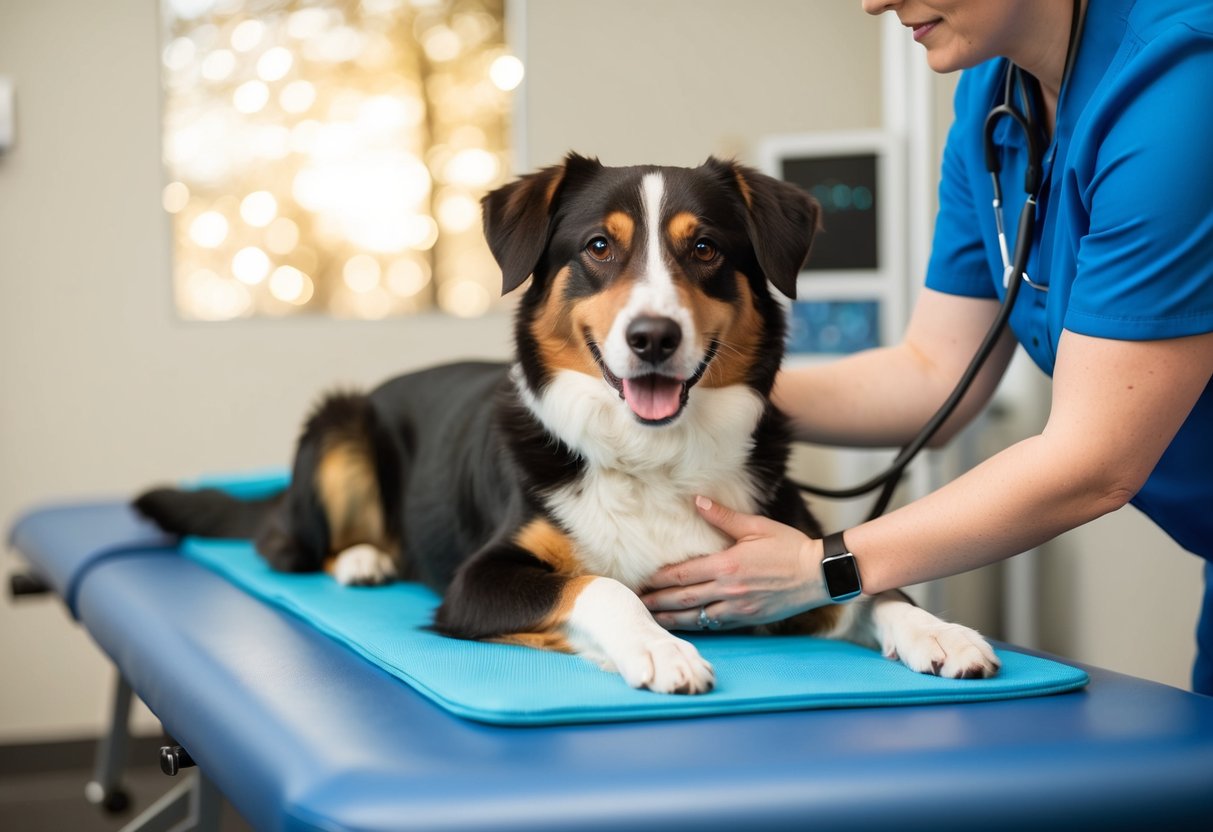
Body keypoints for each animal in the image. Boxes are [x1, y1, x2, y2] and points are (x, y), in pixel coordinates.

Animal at [137, 153, 999, 693]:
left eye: (705, 249)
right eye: (597, 247)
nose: (653, 338)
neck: (653, 458)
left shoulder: (782, 557)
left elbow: (867, 587)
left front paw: (939, 632)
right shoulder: (477, 582)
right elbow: (598, 585)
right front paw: (657, 647)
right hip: (338, 426)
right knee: (285, 543)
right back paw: (362, 559)